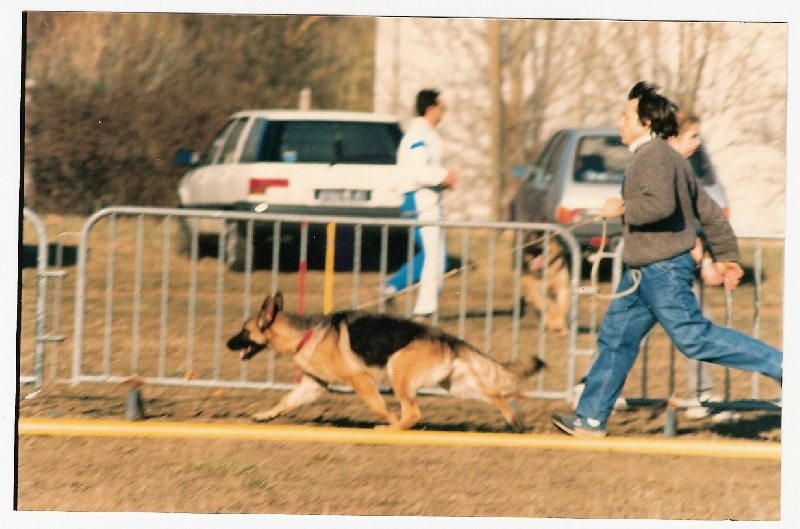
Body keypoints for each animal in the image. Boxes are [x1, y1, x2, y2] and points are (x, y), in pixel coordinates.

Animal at [228, 290, 548, 432]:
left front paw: (389, 421)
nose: (228, 343)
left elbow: (378, 407)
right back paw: (513, 420)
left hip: (399, 373)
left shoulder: (360, 380)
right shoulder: (313, 386)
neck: (305, 333)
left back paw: (396, 428)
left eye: (244, 330)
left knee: (413, 413)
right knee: (496, 394)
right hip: (458, 386)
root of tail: (448, 337)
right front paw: (265, 415)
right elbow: (285, 401)